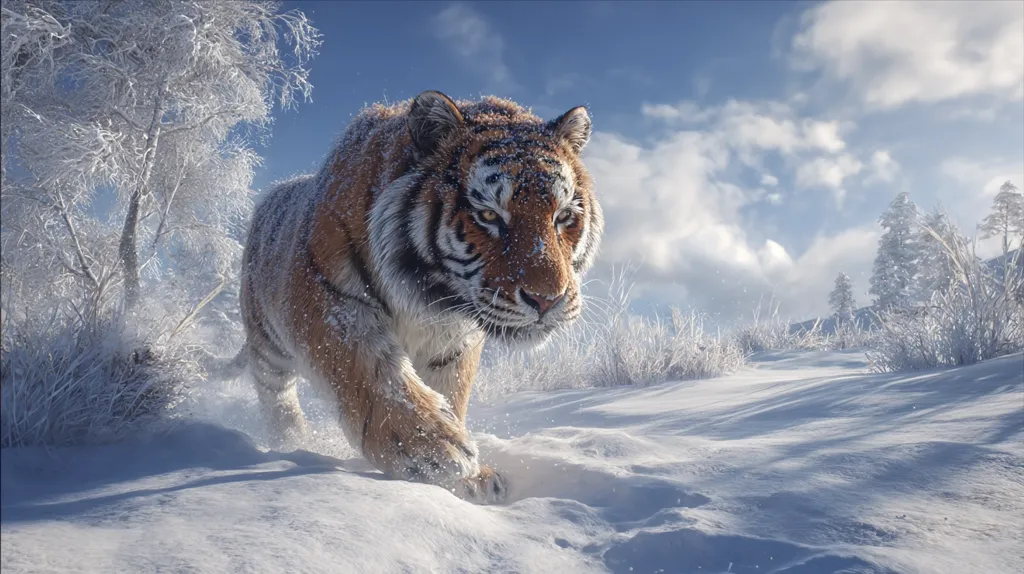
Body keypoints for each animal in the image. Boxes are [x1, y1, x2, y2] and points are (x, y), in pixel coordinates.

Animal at [216, 90, 603, 504]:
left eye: (563, 217)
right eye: (487, 215)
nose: (548, 300)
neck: (430, 297)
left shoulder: (455, 339)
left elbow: (451, 389)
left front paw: (468, 480)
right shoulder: (322, 293)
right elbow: (367, 368)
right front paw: (433, 449)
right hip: (268, 344)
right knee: (276, 394)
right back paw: (290, 442)